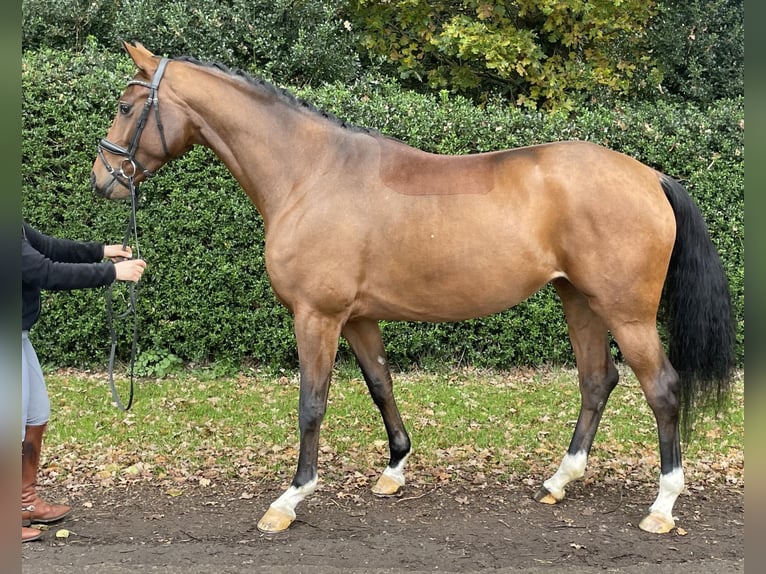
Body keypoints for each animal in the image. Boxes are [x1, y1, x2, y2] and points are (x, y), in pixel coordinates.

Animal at [91, 42, 736, 536]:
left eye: (125, 106)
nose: (103, 179)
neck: (310, 175)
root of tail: (649, 175)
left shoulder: (316, 316)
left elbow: (311, 404)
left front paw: (290, 499)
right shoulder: (356, 317)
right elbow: (380, 385)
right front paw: (394, 469)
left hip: (627, 312)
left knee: (663, 389)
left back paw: (662, 506)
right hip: (577, 299)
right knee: (598, 381)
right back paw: (558, 480)